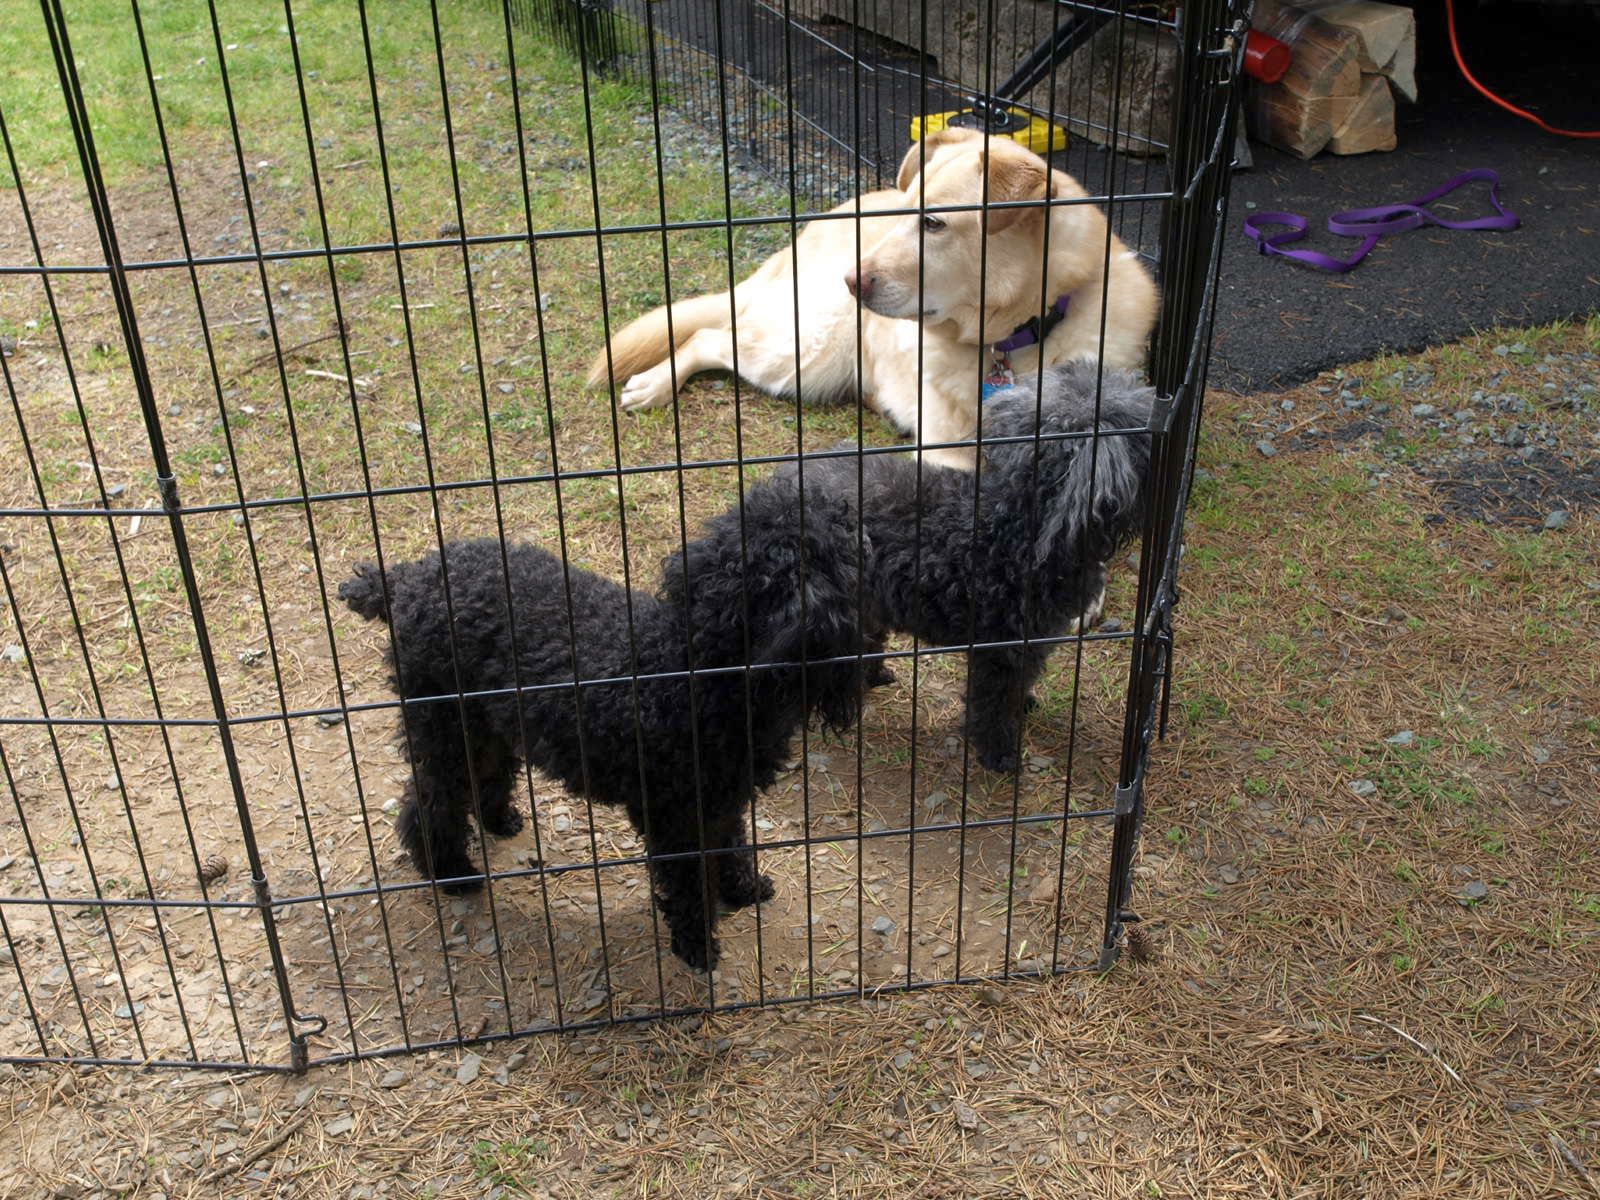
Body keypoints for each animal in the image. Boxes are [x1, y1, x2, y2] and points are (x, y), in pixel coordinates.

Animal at [338, 484, 869, 971]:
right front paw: (697, 946)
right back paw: (451, 872)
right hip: (443, 722)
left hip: (487, 723)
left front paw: (742, 889)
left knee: (485, 774)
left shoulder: (720, 797)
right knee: (429, 801)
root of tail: (404, 578)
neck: (695, 668)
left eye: (841, 558)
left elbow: (731, 844)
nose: (823, 626)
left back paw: (499, 820)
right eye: (773, 574)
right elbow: (688, 883)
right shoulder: (675, 814)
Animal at [588, 127, 1157, 470]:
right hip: (804, 354)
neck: (1017, 337)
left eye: (933, 223)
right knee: (708, 336)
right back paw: (655, 384)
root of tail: (802, 235)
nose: (851, 280)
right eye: (901, 214)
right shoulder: (947, 450)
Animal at [781, 361, 1155, 772]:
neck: (1025, 525)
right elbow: (992, 707)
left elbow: (1020, 687)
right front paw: (1000, 755)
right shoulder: (1001, 650)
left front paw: (1024, 706)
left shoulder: (1028, 646)